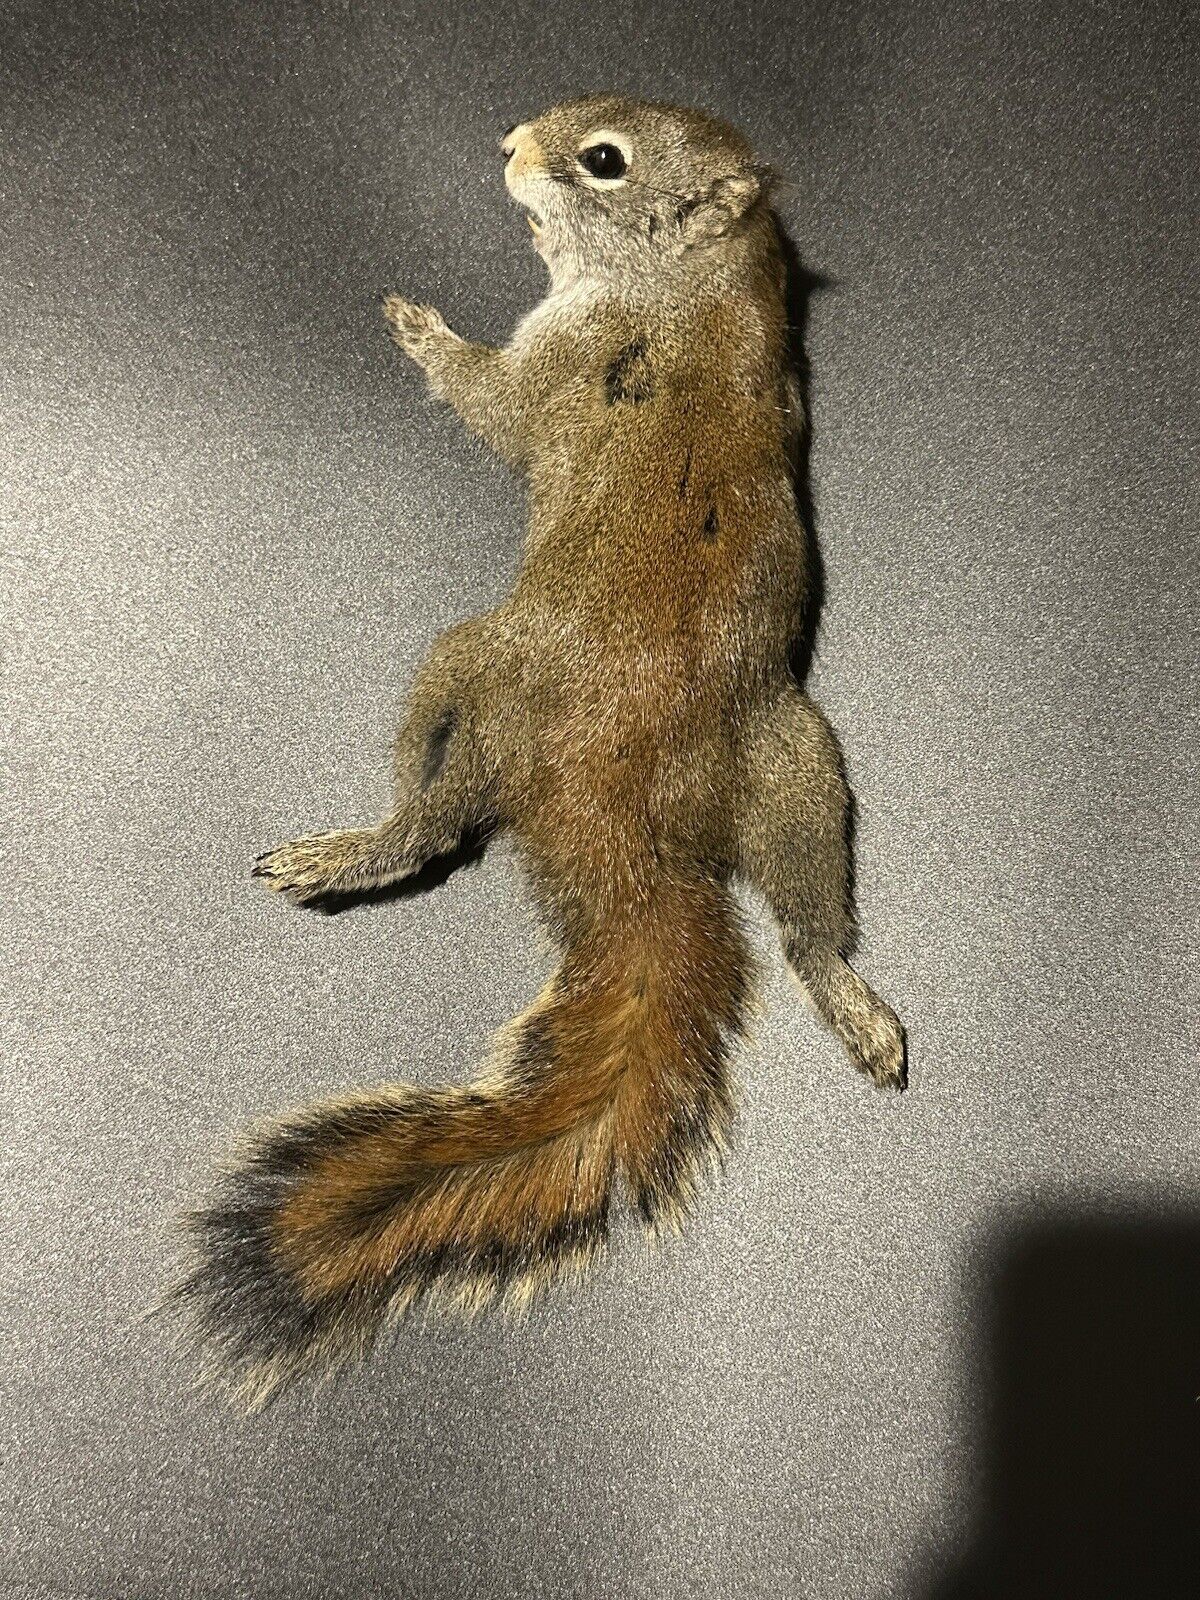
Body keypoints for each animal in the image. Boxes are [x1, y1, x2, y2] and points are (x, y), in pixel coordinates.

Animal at [175, 96, 906, 1408]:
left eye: (602, 160)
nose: (511, 140)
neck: (696, 291)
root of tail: (620, 807)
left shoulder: (560, 360)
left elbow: (492, 402)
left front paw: (417, 323)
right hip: (798, 769)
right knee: (810, 928)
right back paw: (857, 1003)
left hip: (470, 671)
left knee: (434, 825)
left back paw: (348, 850)